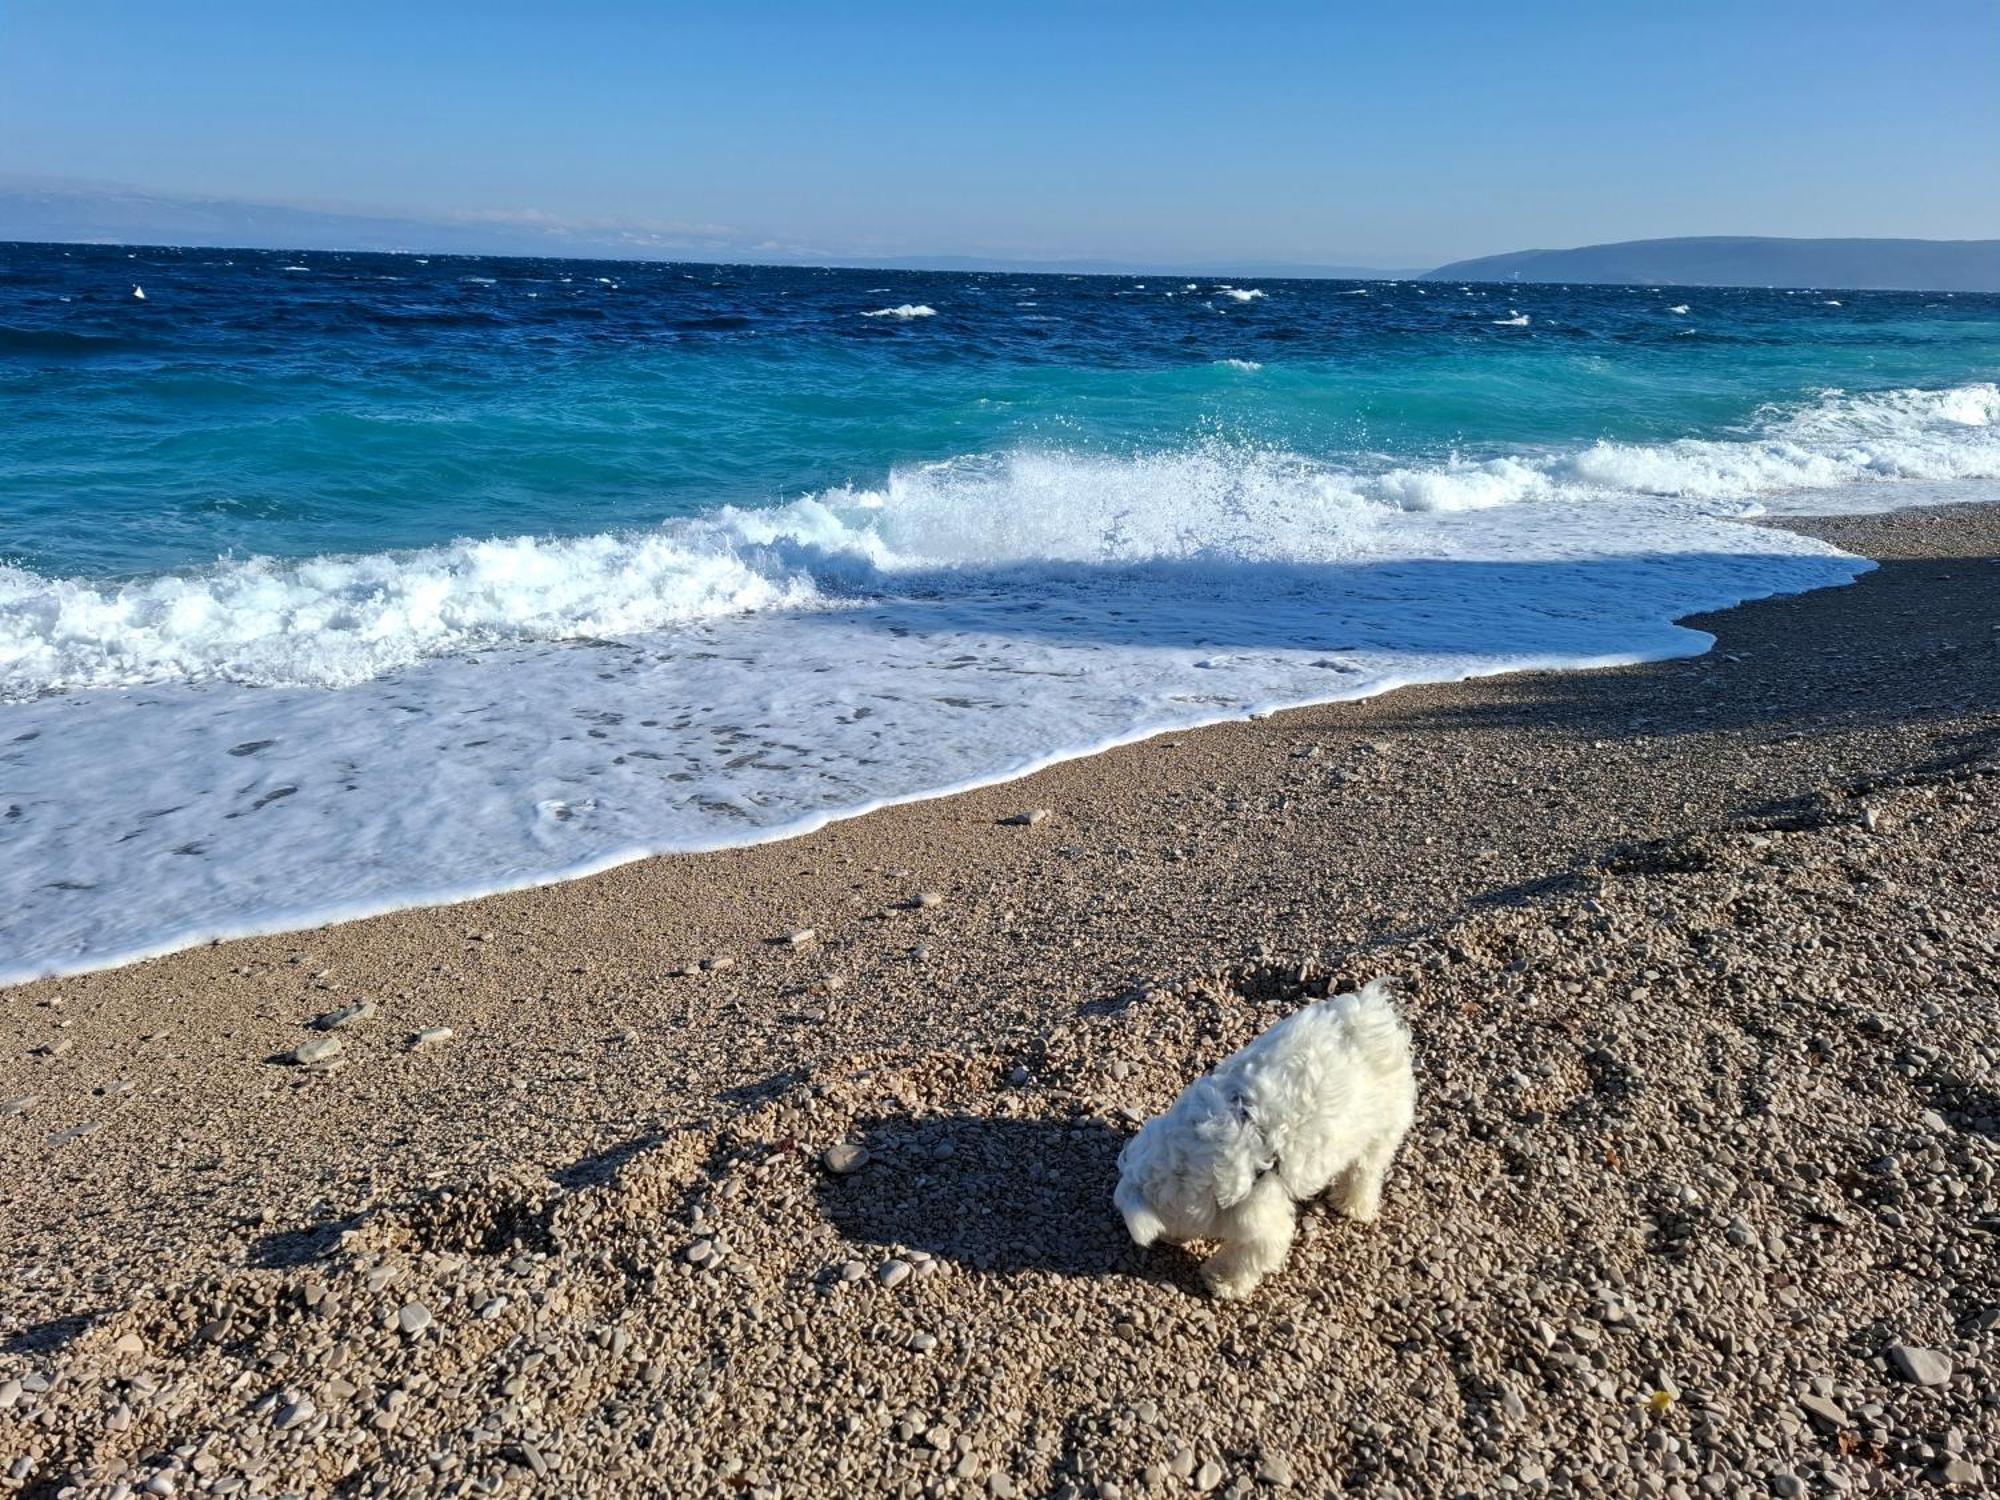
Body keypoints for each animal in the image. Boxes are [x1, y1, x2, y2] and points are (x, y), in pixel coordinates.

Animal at [1120, 980, 1416, 1296]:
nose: (1166, 1241)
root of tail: (1373, 1011)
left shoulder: (1258, 1211)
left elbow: (1249, 1254)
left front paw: (1223, 1281)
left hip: (1382, 1129)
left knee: (1365, 1170)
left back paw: (1352, 1204)